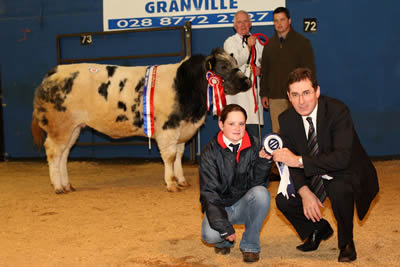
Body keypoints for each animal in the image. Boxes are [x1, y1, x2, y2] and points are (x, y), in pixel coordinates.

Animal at [31, 48, 252, 194]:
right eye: (223, 66)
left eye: (235, 65)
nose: (247, 81)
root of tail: (55, 72)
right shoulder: (168, 128)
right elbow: (170, 157)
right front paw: (171, 183)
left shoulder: (181, 129)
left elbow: (179, 156)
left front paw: (181, 180)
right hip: (60, 125)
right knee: (53, 152)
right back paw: (58, 187)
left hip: (73, 127)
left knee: (64, 154)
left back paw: (67, 185)